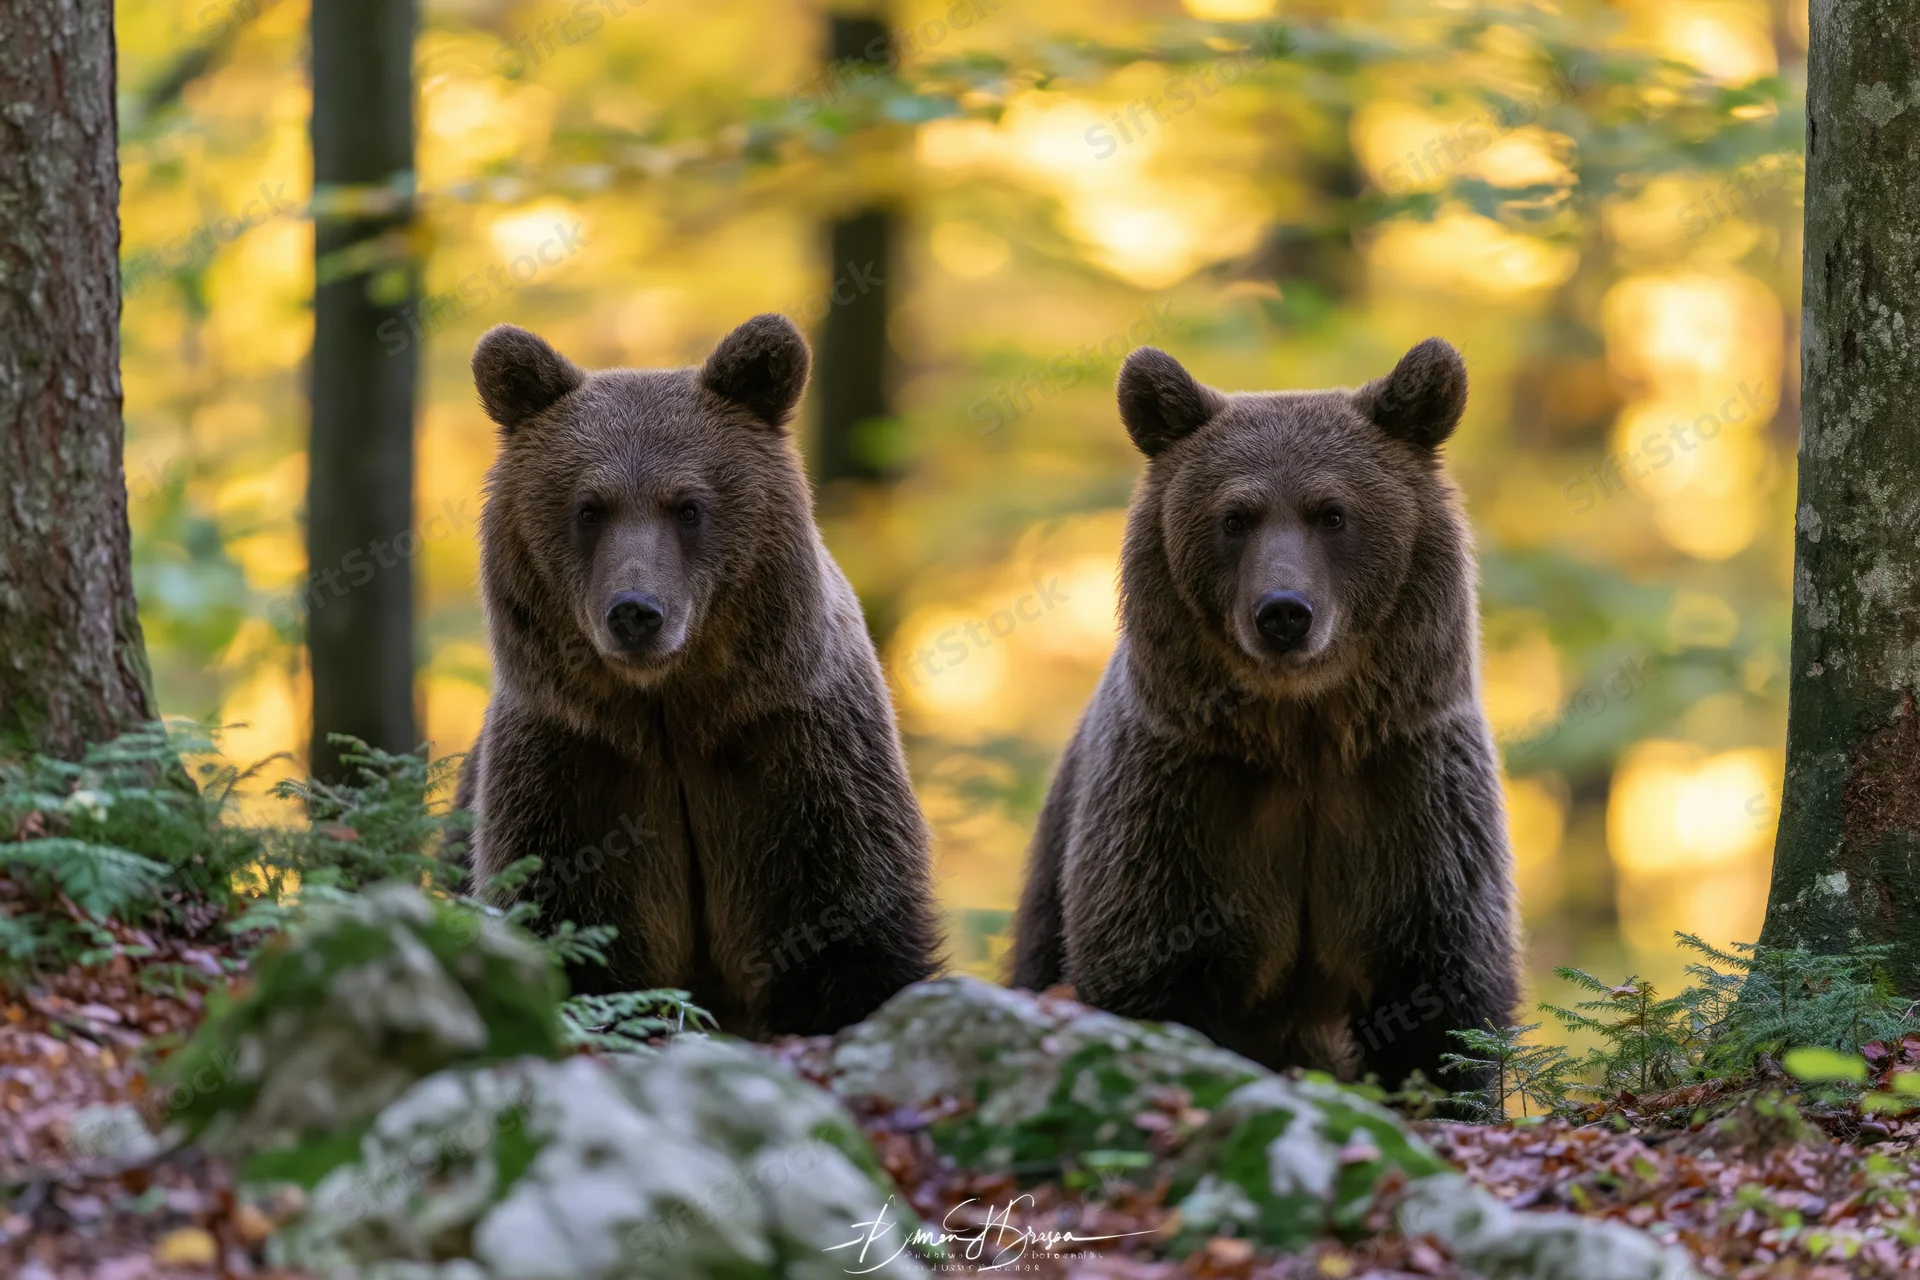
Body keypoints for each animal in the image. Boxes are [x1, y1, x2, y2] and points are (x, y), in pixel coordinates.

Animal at [456, 314, 940, 1038]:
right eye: (589, 507)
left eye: (687, 506)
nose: (636, 612)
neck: (669, 710)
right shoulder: (577, 760)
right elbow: (571, 918)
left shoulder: (793, 751)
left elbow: (840, 920)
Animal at [1010, 337, 1518, 1089]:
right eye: (1234, 517)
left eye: (1331, 512)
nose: (1283, 612)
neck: (1301, 732)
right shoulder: (1178, 802)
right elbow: (1152, 967)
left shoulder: (1409, 792)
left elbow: (1440, 991)